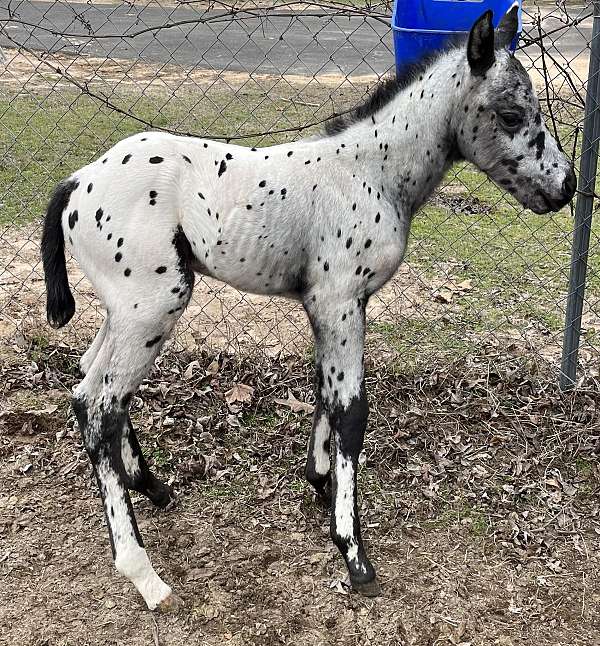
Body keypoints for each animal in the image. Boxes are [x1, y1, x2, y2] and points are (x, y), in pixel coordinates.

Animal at [42, 7, 576, 612]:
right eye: (511, 114)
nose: (567, 186)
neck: (371, 172)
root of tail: (78, 181)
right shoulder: (338, 299)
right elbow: (351, 412)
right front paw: (353, 550)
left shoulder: (339, 305)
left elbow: (327, 392)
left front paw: (320, 481)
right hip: (153, 305)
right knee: (102, 404)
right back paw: (143, 572)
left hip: (125, 311)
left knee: (88, 384)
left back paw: (152, 486)